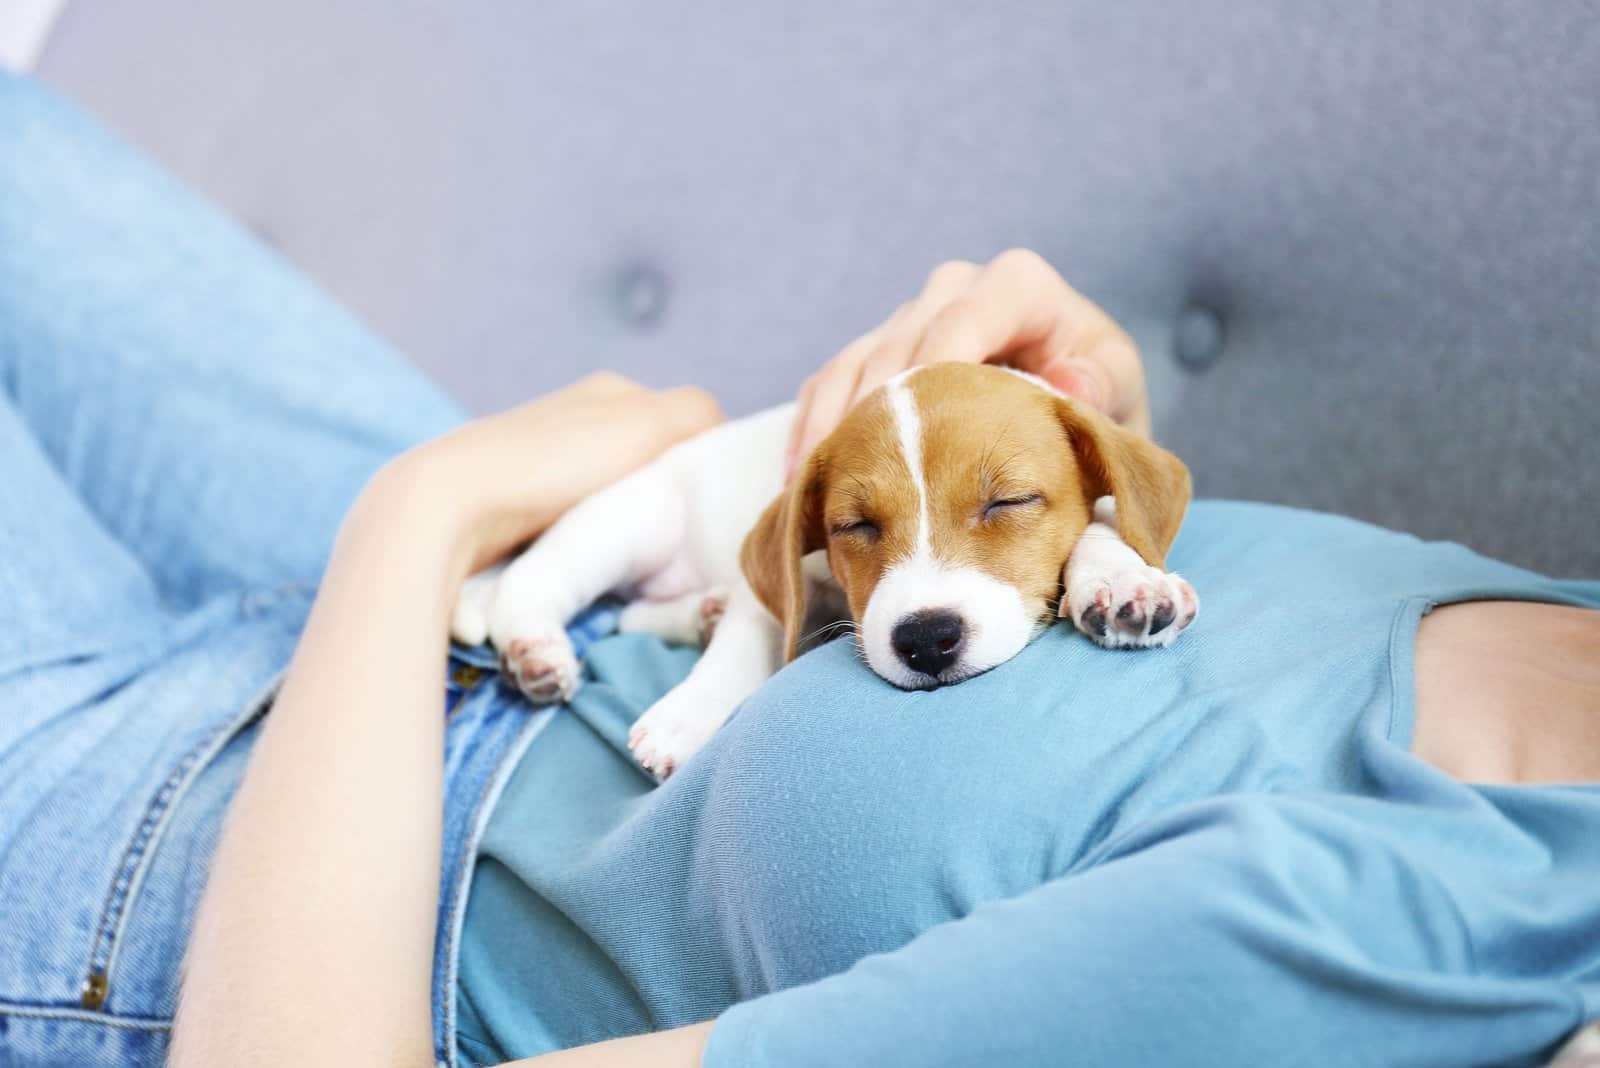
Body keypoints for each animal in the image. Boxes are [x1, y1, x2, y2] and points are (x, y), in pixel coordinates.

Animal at [457, 364, 1196, 777]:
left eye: (1008, 502)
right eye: (856, 526)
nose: (925, 640)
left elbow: (1103, 527)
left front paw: (1124, 580)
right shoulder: (776, 580)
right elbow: (741, 647)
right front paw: (688, 712)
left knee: (636, 609)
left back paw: (698, 612)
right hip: (628, 524)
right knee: (535, 582)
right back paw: (535, 649)